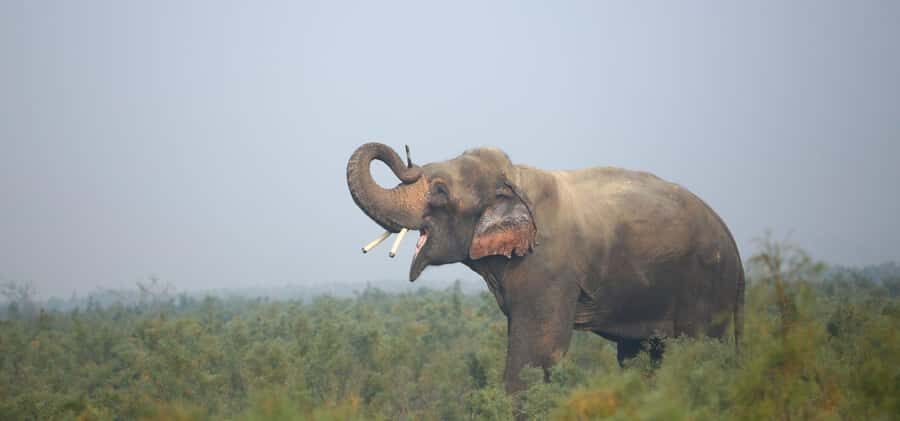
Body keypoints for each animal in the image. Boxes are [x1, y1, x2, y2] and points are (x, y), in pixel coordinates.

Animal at [346, 142, 745, 393]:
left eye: (441, 191)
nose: (408, 162)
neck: (515, 178)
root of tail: (737, 252)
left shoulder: (548, 267)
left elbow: (535, 356)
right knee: (639, 356)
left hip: (705, 285)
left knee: (698, 350)